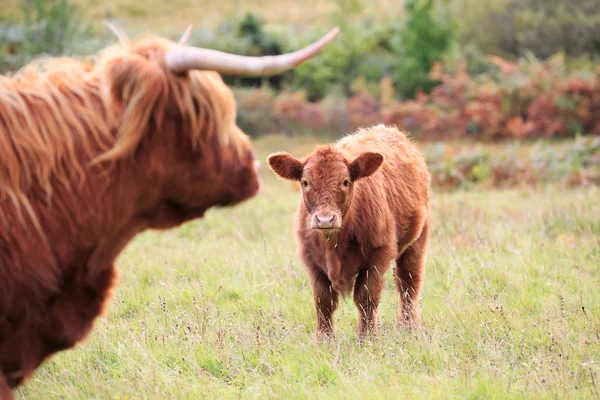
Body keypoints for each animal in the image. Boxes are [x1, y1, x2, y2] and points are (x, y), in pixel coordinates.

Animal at [268, 125, 432, 338]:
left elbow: (366, 298)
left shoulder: (379, 254)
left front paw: (367, 337)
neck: (333, 243)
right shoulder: (311, 260)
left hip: (417, 242)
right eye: (305, 182)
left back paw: (408, 327)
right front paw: (325, 339)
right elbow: (323, 301)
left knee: (408, 285)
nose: (325, 219)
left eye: (345, 181)